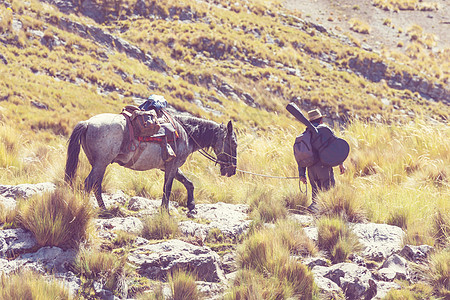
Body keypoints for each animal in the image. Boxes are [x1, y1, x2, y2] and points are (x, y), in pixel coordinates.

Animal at [65, 111, 239, 212]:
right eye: (234, 143)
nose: (232, 170)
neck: (186, 134)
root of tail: (88, 123)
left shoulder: (169, 167)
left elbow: (188, 183)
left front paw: (192, 206)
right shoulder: (172, 166)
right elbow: (167, 189)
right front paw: (165, 211)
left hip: (99, 164)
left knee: (96, 185)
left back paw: (104, 209)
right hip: (101, 163)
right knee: (89, 183)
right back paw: (86, 208)